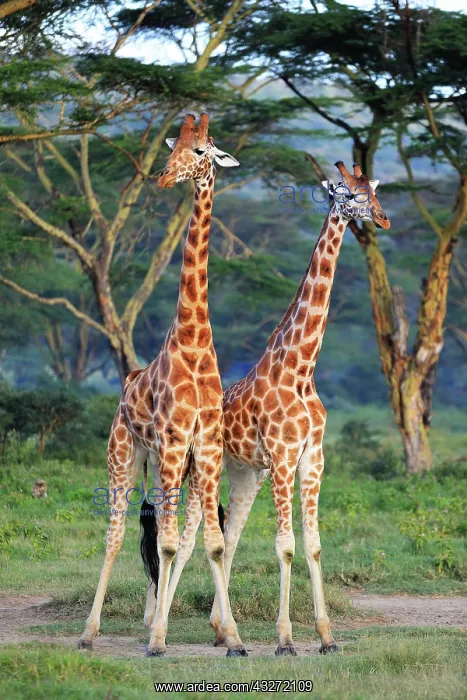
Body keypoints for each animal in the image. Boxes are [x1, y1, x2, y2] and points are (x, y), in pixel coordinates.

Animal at [78, 113, 248, 658]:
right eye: (175, 146)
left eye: (201, 151)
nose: (164, 176)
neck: (193, 343)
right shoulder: (174, 442)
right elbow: (171, 542)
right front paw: (156, 641)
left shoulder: (205, 449)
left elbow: (210, 543)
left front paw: (233, 638)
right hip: (125, 455)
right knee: (116, 535)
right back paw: (90, 632)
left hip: (165, 465)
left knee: (156, 533)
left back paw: (154, 621)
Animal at [165, 161, 391, 655]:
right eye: (350, 193)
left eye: (373, 190)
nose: (383, 219)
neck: (301, 368)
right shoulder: (284, 457)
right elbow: (285, 545)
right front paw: (285, 639)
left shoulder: (312, 458)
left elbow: (313, 545)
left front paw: (326, 637)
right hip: (198, 469)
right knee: (189, 540)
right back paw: (162, 628)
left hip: (245, 474)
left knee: (228, 541)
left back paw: (220, 629)